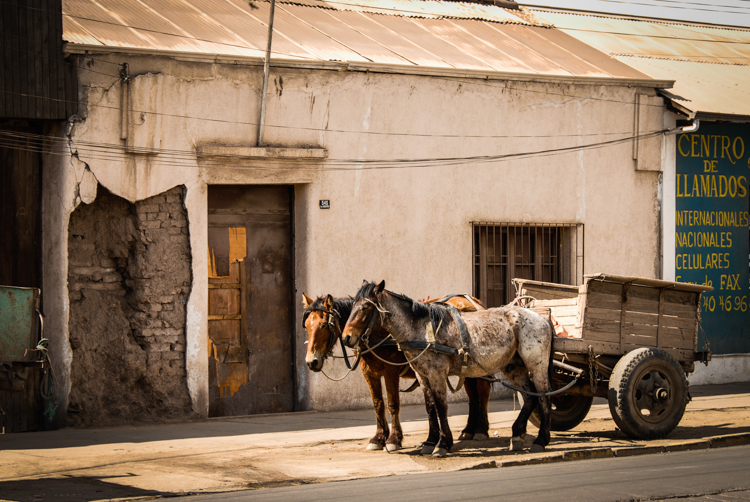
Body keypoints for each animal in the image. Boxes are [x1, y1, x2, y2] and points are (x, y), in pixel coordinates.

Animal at [306, 292, 494, 452]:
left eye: (324, 325)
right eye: (307, 326)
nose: (311, 361)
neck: (375, 331)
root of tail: (475, 302)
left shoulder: (391, 372)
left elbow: (392, 404)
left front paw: (393, 439)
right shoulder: (370, 374)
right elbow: (378, 404)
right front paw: (379, 438)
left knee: (483, 393)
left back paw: (480, 430)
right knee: (473, 397)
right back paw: (469, 429)